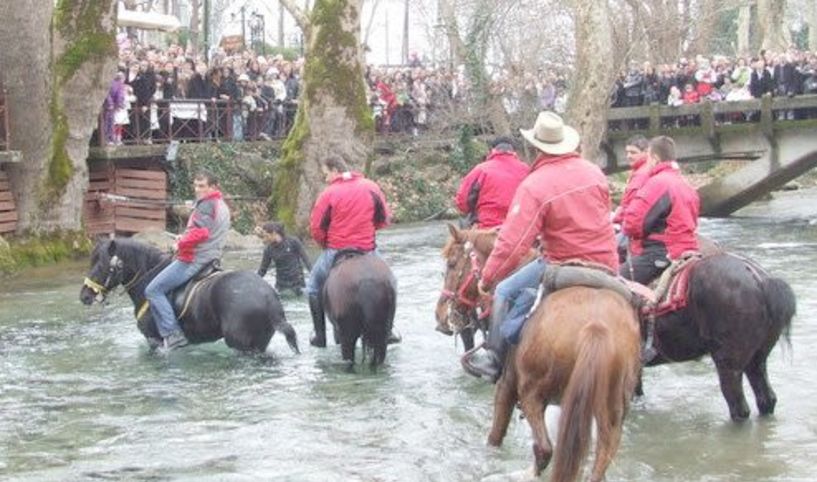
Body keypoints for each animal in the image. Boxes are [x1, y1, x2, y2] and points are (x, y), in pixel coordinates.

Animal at [77, 238, 296, 354]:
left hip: (242, 345)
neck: (148, 278)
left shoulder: (154, 340)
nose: (84, 296)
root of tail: (268, 297)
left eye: (102, 265)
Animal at [488, 284, 640, 480]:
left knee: (544, 448)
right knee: (605, 451)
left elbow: (497, 429)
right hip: (612, 404)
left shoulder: (508, 383)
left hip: (532, 392)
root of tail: (596, 326)